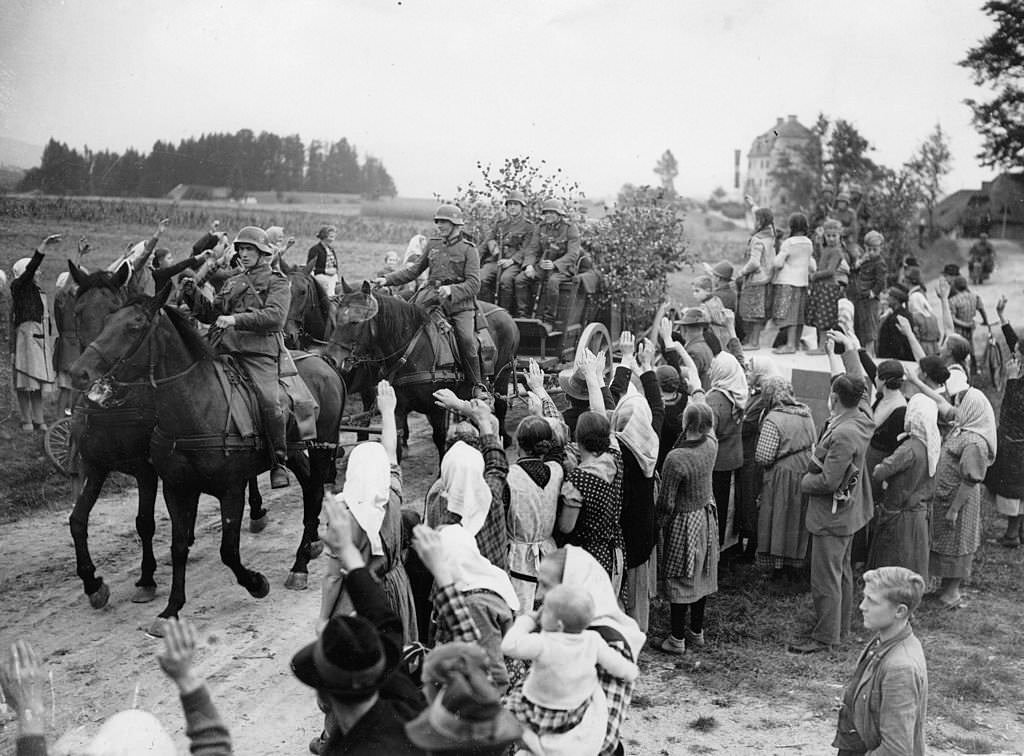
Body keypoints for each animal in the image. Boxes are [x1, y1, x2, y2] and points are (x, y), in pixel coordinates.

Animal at [72, 284, 346, 635]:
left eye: (134, 326)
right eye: (107, 320)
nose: (79, 372)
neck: (197, 407)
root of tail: (323, 362)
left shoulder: (230, 490)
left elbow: (228, 550)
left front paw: (256, 583)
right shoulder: (174, 488)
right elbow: (177, 547)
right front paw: (170, 610)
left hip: (323, 445)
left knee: (316, 490)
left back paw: (300, 565)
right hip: (296, 450)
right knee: (311, 489)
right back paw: (306, 551)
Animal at [323, 280, 520, 456]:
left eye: (355, 322)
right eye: (336, 318)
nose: (330, 358)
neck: (412, 350)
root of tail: (506, 314)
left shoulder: (437, 408)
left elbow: (440, 440)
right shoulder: (397, 408)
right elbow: (395, 441)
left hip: (503, 374)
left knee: (501, 405)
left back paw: (503, 438)